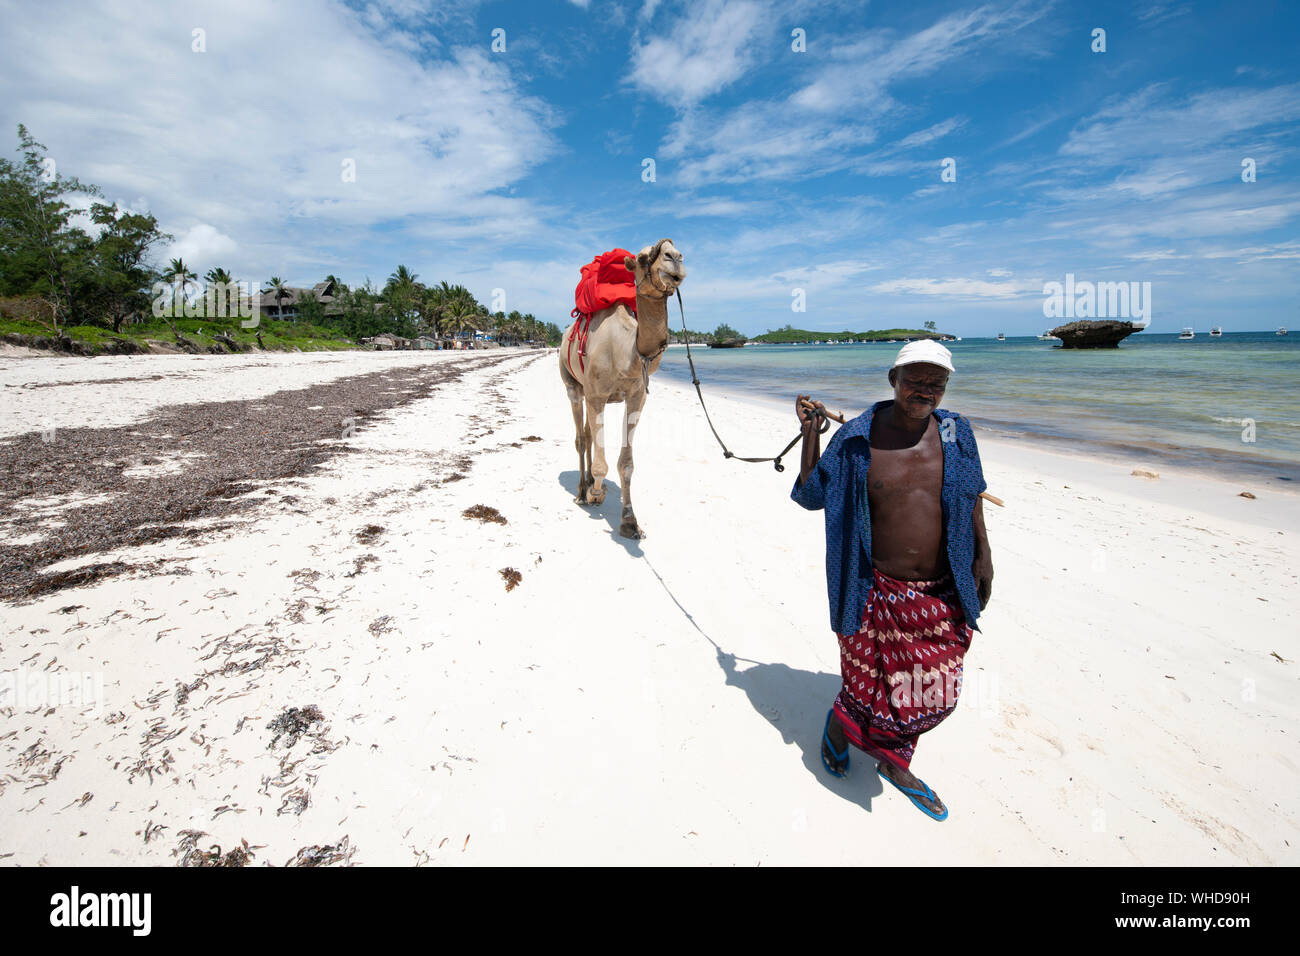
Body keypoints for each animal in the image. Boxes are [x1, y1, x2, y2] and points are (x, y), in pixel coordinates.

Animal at [556, 239, 686, 538]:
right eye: (641, 258)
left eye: (678, 253)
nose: (674, 258)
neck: (624, 350)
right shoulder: (596, 395)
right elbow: (600, 459)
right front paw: (595, 493)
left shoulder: (636, 397)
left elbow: (626, 464)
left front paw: (629, 522)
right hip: (573, 385)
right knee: (581, 437)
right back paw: (581, 491)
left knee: (588, 434)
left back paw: (589, 484)